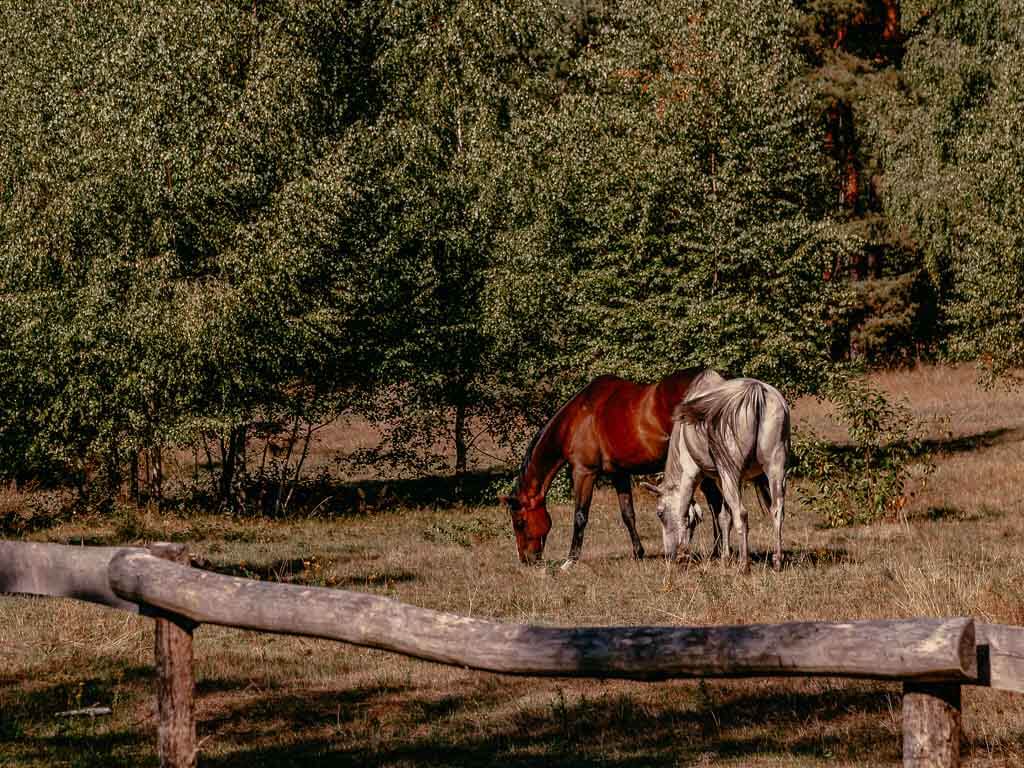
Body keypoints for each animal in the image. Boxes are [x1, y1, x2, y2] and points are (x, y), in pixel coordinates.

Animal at [500, 367, 727, 567]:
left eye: (519, 523)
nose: (526, 560)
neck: (576, 419)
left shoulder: (584, 473)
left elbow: (580, 516)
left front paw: (570, 560)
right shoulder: (619, 474)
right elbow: (628, 514)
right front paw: (638, 553)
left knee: (715, 502)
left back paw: (717, 552)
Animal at [641, 377, 790, 573]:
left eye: (660, 513)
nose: (669, 554)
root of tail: (755, 390)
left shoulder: (691, 475)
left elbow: (683, 512)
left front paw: (683, 556)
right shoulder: (723, 480)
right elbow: (724, 518)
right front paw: (725, 557)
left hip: (730, 474)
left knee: (741, 514)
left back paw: (744, 564)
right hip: (774, 468)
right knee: (777, 511)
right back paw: (777, 561)